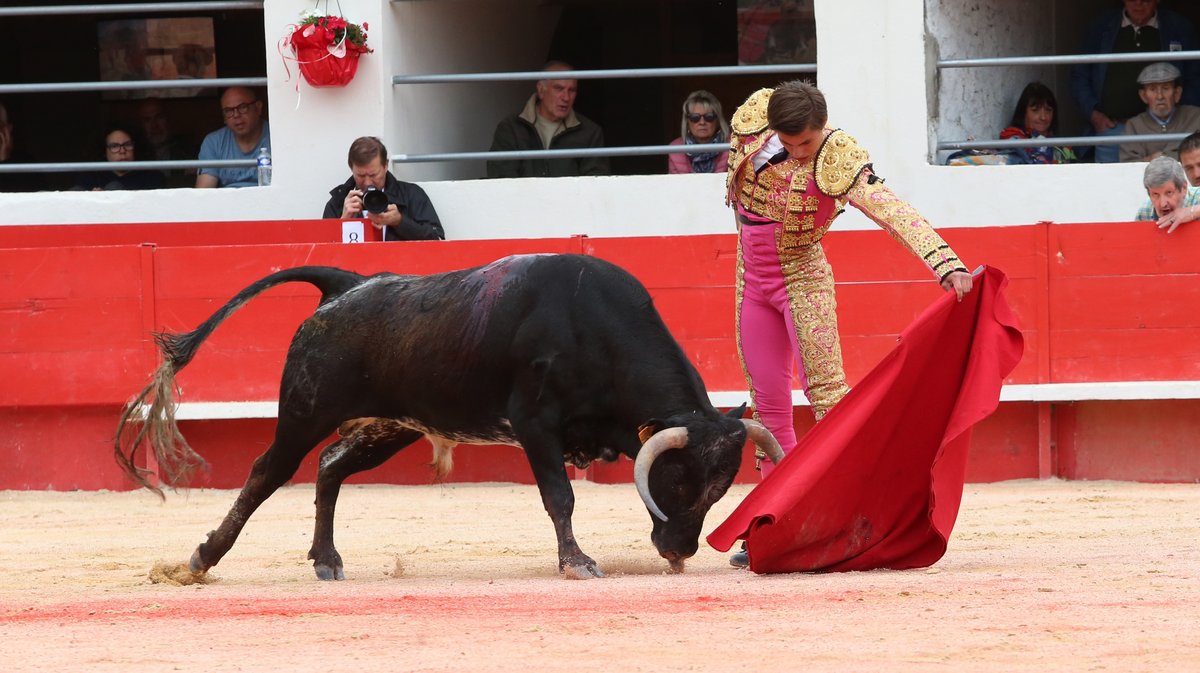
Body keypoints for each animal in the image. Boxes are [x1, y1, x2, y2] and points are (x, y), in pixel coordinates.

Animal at [117, 251, 782, 578]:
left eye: (720, 489)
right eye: (678, 480)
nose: (680, 549)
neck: (592, 327)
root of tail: (349, 284)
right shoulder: (535, 425)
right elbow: (560, 496)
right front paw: (577, 564)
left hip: (389, 426)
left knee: (330, 468)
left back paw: (327, 561)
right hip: (305, 411)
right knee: (265, 473)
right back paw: (200, 560)